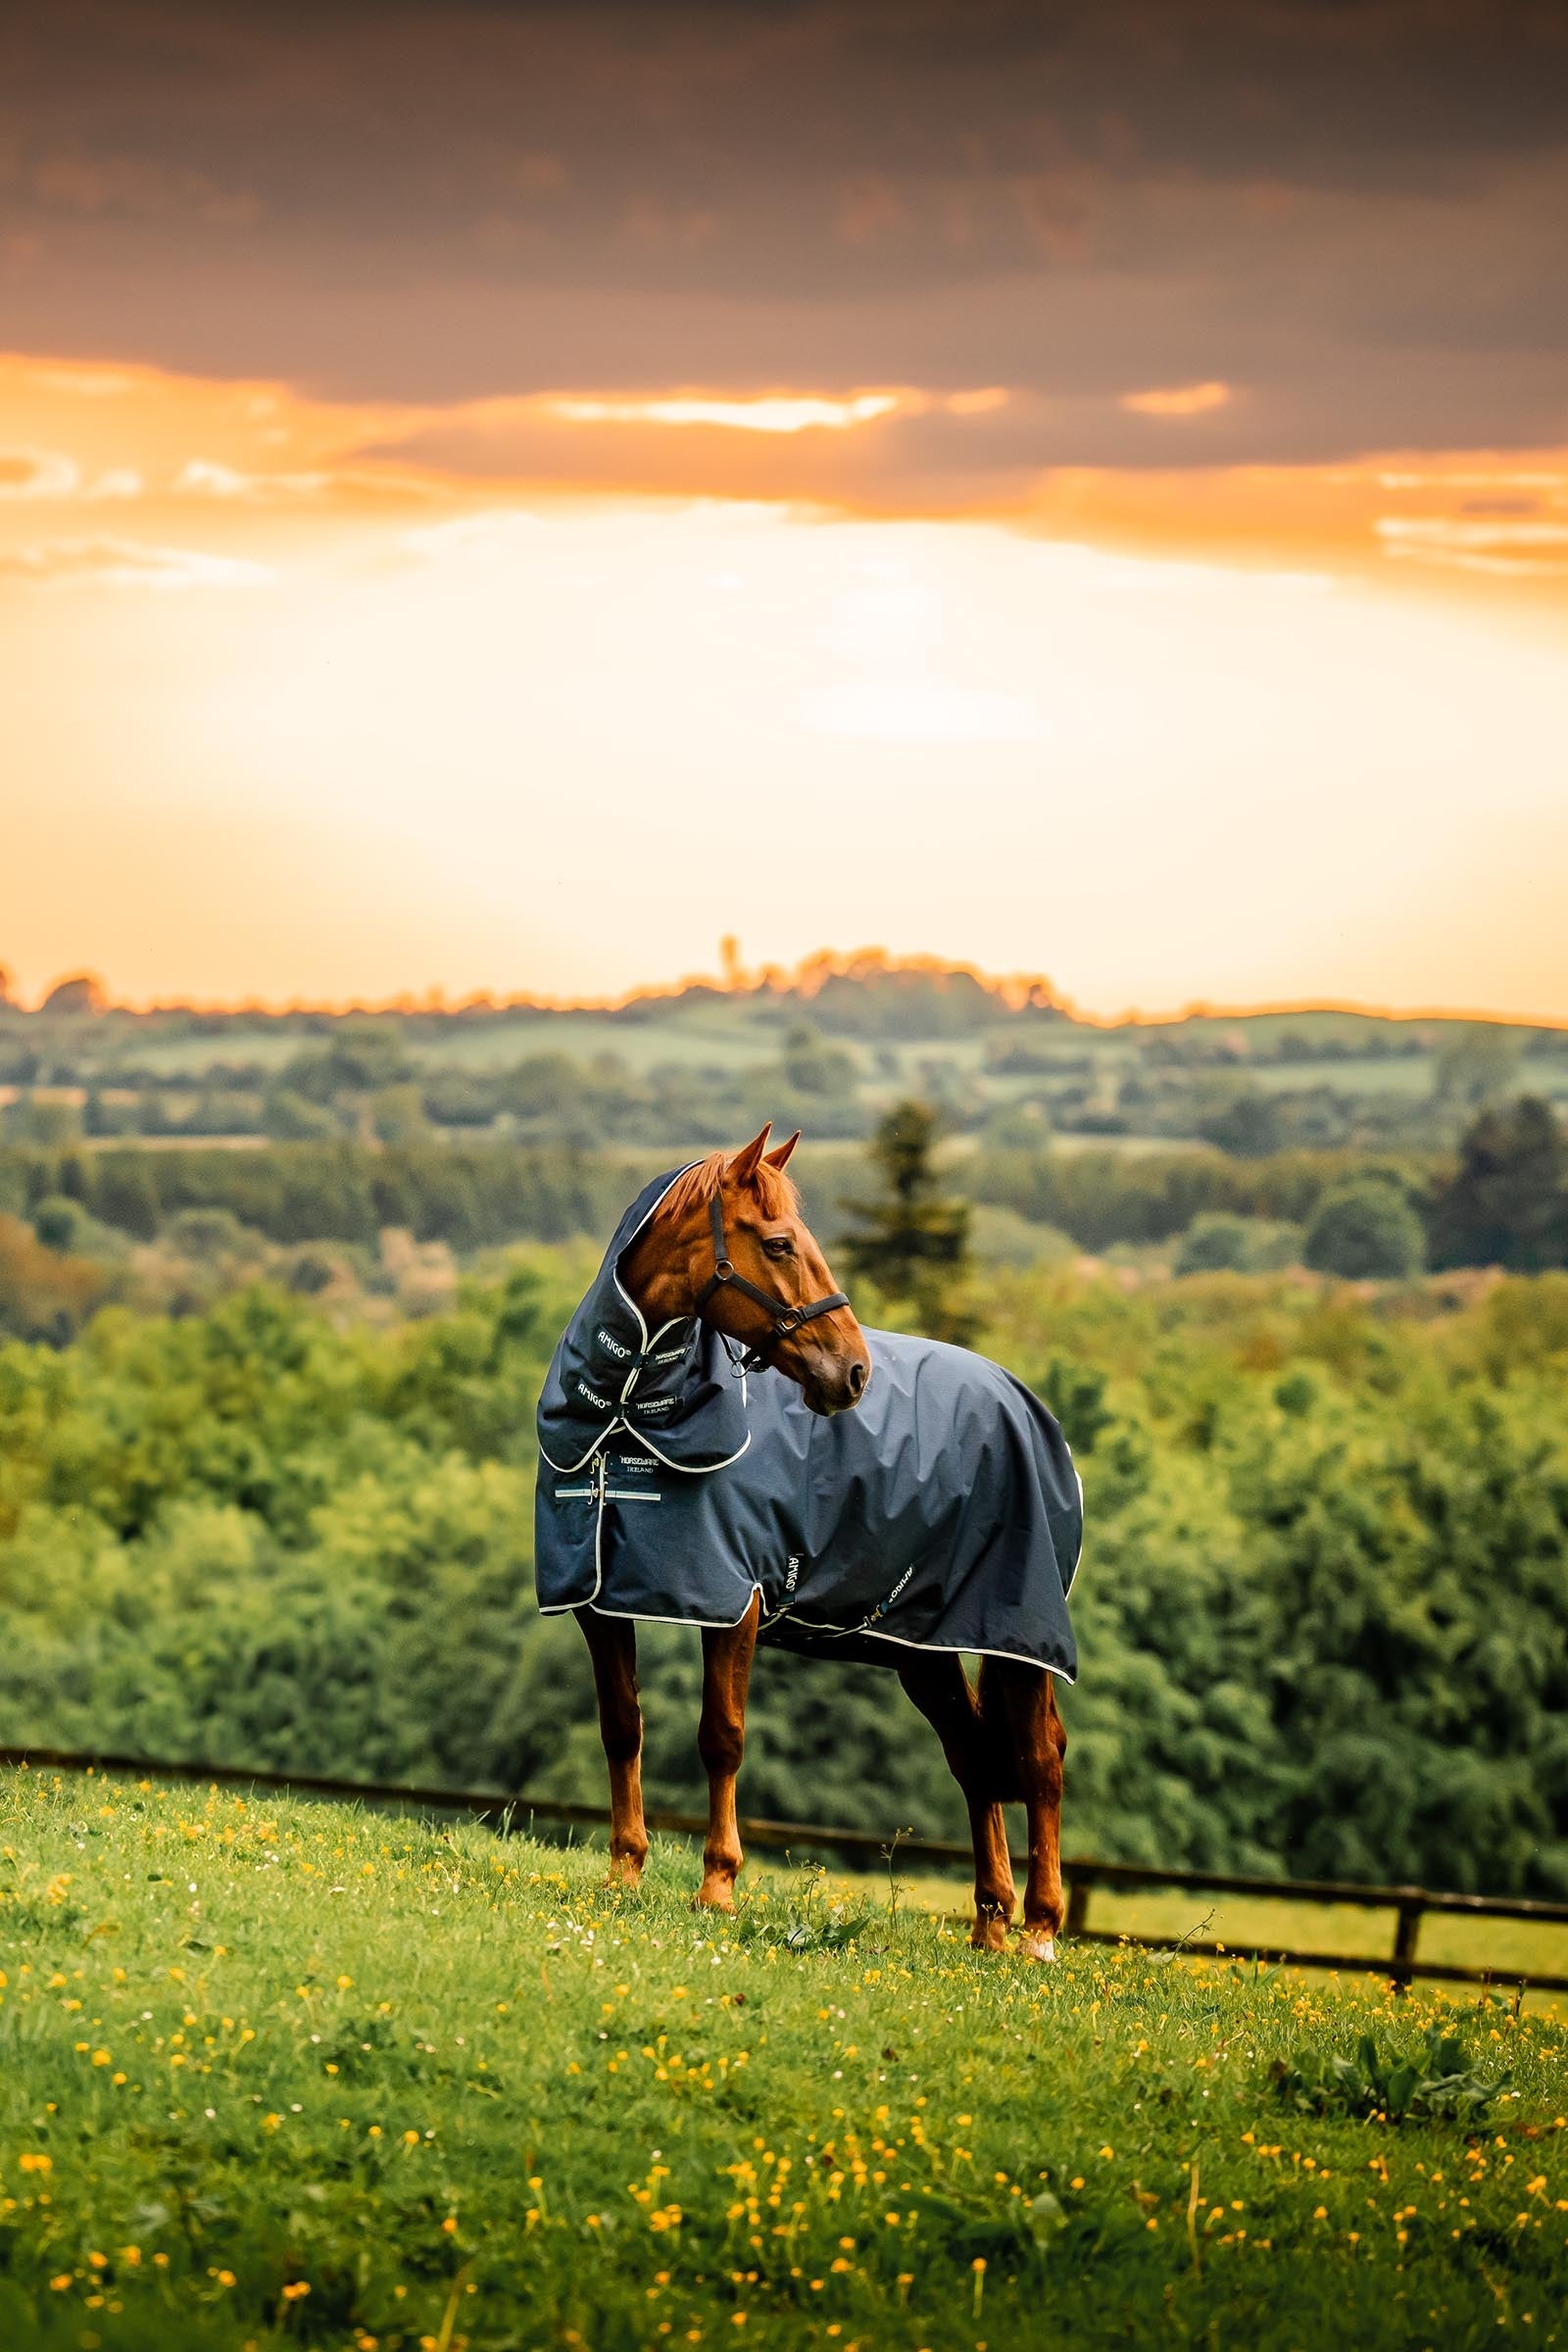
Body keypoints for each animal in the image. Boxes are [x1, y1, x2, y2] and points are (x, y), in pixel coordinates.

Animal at [534, 1123, 1081, 1960]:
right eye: (780, 1243)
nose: (852, 1372)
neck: (629, 1411)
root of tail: (1022, 1401)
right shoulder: (600, 1601)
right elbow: (622, 1727)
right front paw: (624, 1870)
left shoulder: (735, 1604)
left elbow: (721, 1737)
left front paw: (718, 1887)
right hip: (921, 1646)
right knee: (974, 1759)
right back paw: (991, 1924)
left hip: (1020, 1636)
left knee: (1039, 1759)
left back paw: (1040, 1932)